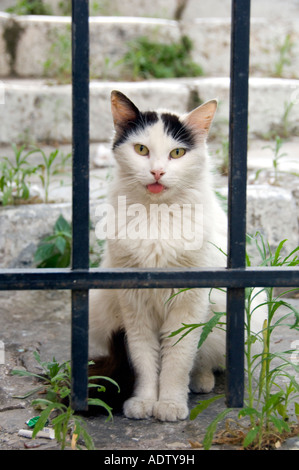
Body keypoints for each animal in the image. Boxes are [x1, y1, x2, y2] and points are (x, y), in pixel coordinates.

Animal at [88, 90, 264, 420]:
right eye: (141, 149)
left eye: (177, 153)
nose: (157, 171)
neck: (157, 216)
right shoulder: (134, 306)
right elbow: (144, 360)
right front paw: (144, 401)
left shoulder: (188, 302)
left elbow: (178, 359)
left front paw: (170, 403)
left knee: (203, 360)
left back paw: (201, 382)